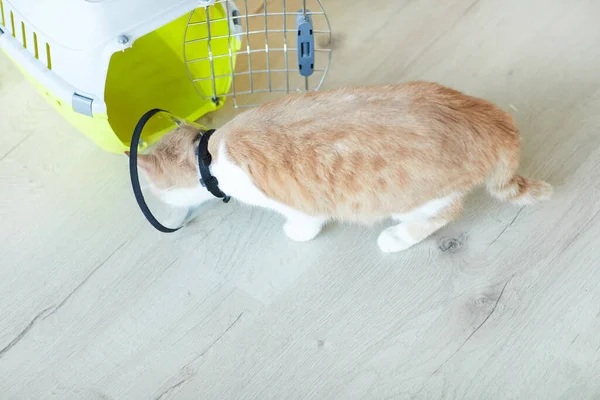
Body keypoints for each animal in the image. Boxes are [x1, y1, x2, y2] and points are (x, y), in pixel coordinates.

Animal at [130, 80, 552, 253]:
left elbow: (306, 223)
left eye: (156, 190)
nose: (159, 202)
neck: (210, 155)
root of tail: (491, 122)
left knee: (442, 214)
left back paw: (396, 238)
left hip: (417, 198)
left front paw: (297, 234)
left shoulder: (300, 204)